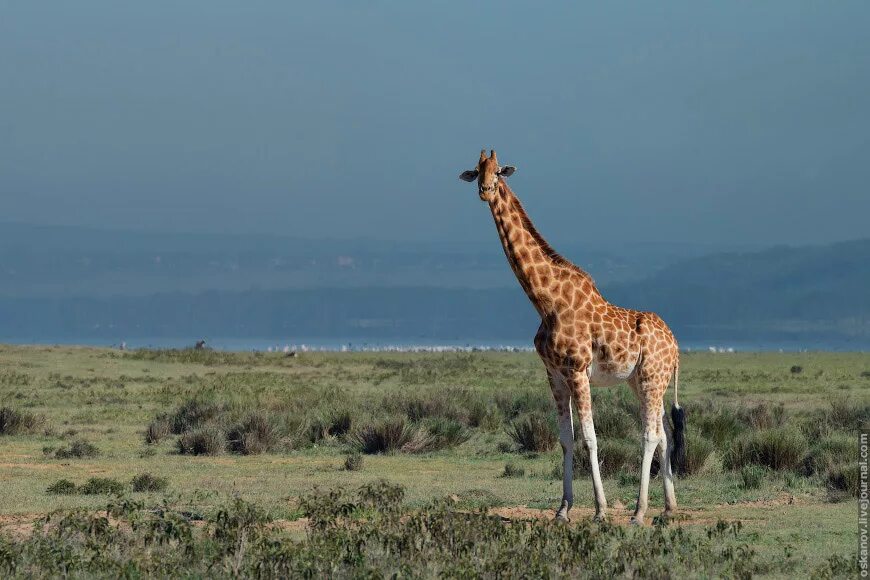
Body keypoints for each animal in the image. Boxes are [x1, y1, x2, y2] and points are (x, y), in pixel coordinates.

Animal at [460, 151, 684, 524]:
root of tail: (677, 346)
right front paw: (562, 509)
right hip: (643, 380)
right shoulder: (554, 375)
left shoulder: (578, 371)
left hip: (652, 378)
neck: (545, 301)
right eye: (476, 171)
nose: (485, 190)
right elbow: (565, 438)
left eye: (499, 171)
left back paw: (638, 512)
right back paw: (668, 507)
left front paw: (600, 510)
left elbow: (590, 438)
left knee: (651, 434)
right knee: (665, 433)